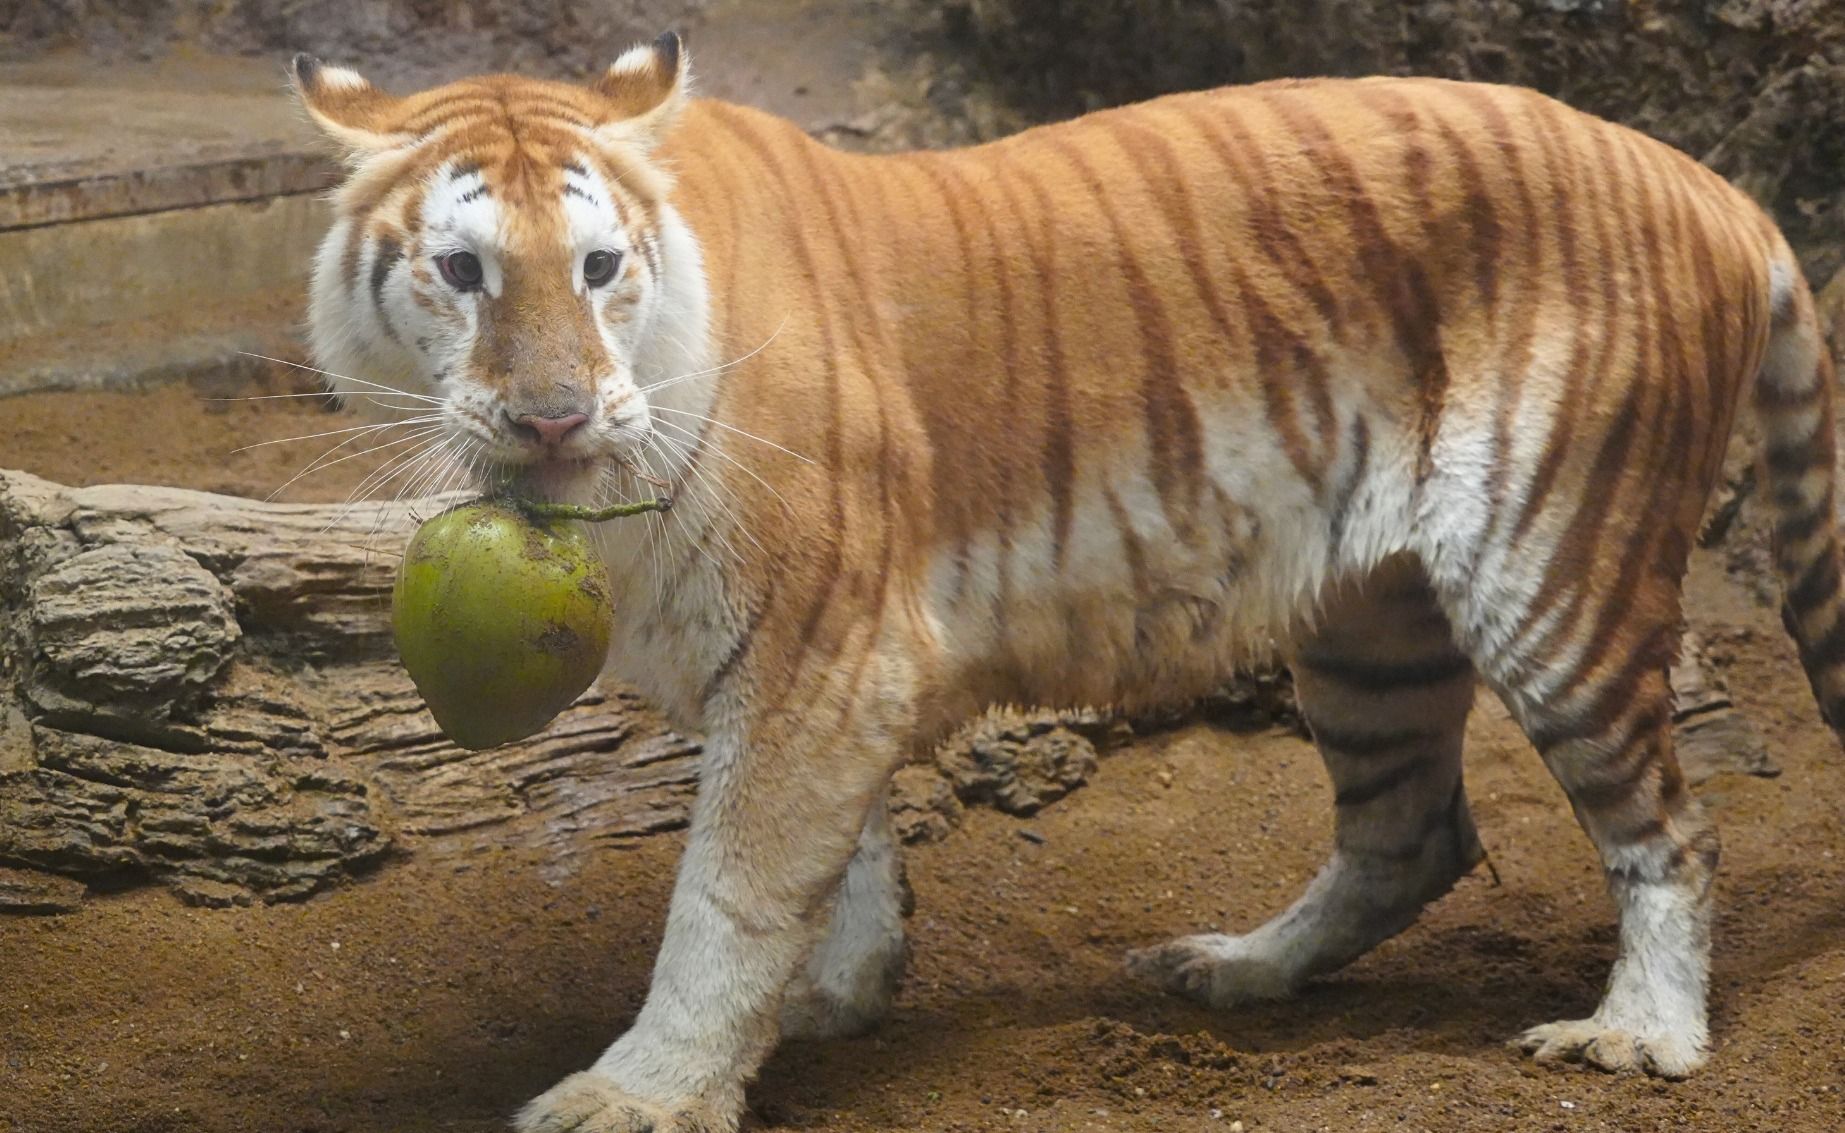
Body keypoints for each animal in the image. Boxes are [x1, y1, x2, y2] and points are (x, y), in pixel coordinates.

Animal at [287, 33, 1845, 1133]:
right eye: (462, 272)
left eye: (600, 264)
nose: (550, 419)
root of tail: (1703, 179)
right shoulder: (829, 664)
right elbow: (839, 857)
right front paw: (838, 992)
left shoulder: (816, 647)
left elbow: (729, 891)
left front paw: (644, 1089)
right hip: (1368, 622)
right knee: (1412, 832)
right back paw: (1235, 967)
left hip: (1552, 573)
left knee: (1669, 830)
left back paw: (1638, 1036)